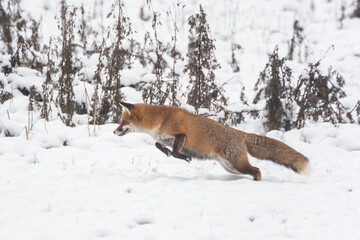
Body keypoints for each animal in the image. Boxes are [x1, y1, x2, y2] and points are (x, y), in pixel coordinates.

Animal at [114, 102, 310, 181]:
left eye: (123, 122)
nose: (114, 131)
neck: (159, 119)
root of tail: (240, 133)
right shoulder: (165, 139)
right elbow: (158, 145)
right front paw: (168, 153)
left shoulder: (181, 135)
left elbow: (177, 152)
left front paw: (185, 157)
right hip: (231, 167)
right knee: (255, 170)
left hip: (237, 164)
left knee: (257, 170)